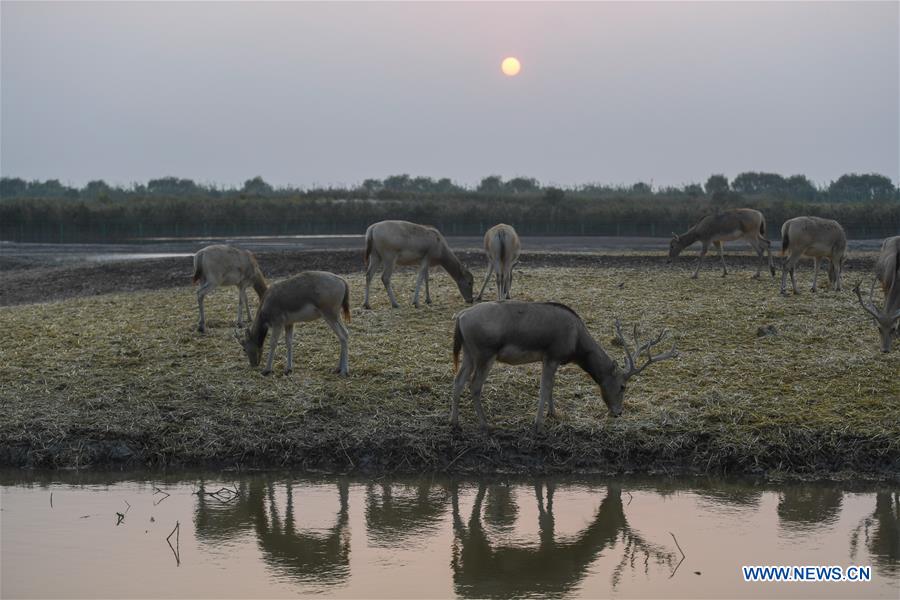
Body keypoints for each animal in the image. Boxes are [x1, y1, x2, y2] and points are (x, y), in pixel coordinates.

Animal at [450, 302, 676, 428]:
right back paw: (485, 424)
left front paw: (552, 413)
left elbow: (551, 387)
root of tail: (460, 317)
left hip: (469, 352)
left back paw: (455, 423)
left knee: (458, 381)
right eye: (623, 386)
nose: (618, 413)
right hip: (485, 352)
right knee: (474, 385)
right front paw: (538, 423)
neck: (576, 346)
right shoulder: (553, 354)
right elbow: (544, 388)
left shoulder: (551, 359)